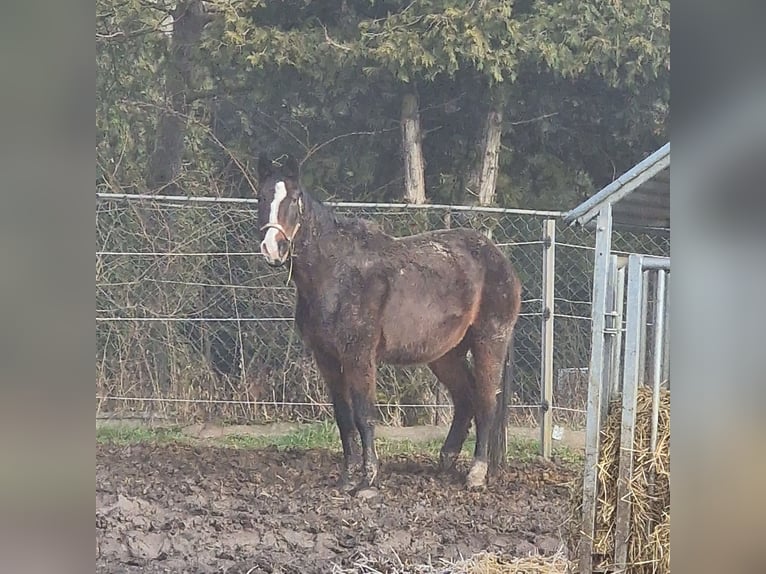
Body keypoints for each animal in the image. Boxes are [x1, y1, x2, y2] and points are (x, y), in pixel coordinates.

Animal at [256, 155, 520, 492]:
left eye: (293, 198)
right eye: (262, 197)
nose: (272, 249)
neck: (335, 273)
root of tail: (499, 258)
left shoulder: (359, 355)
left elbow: (364, 414)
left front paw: (367, 479)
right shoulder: (326, 358)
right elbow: (343, 416)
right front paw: (346, 478)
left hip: (490, 341)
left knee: (486, 401)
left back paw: (476, 472)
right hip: (446, 354)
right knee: (465, 399)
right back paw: (446, 460)